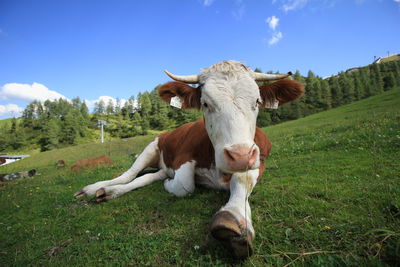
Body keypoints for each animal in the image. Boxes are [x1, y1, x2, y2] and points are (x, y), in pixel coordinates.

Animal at [74, 61, 304, 260]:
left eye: (256, 101)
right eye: (205, 103)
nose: (240, 155)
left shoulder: (258, 158)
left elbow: (242, 181)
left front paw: (233, 218)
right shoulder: (182, 158)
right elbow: (185, 186)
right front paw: (170, 185)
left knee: (146, 178)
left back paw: (110, 192)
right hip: (152, 146)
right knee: (129, 174)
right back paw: (96, 188)